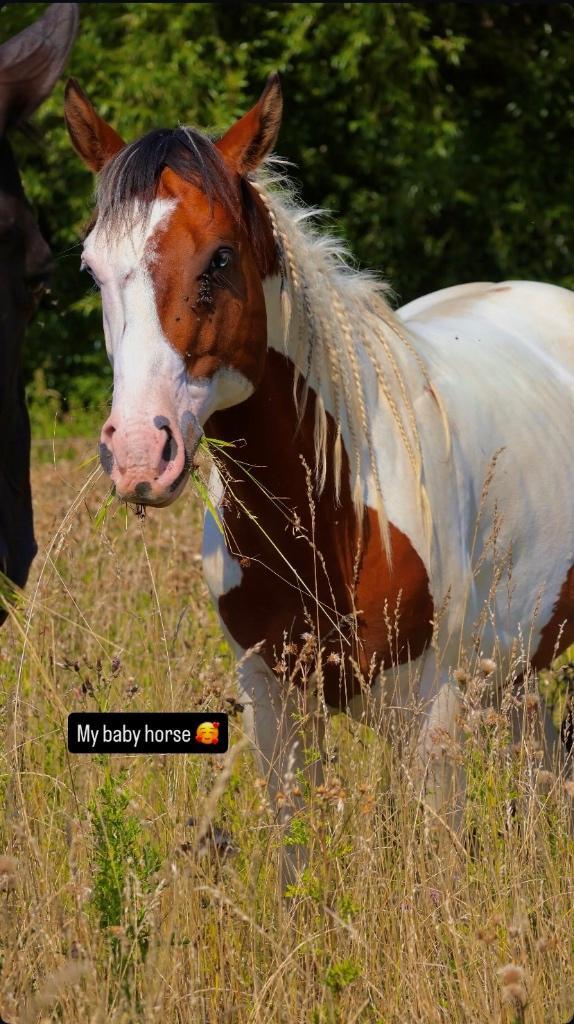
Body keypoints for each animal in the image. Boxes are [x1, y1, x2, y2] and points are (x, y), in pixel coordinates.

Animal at [65, 73, 574, 874]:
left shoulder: (432, 716)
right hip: (515, 671)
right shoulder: (277, 707)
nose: (141, 454)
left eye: (219, 258)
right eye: (92, 269)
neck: (336, 512)